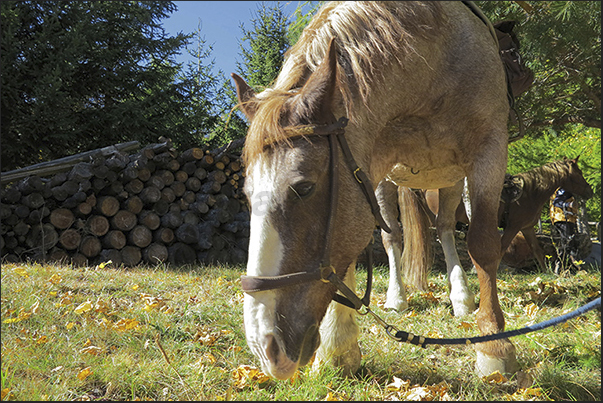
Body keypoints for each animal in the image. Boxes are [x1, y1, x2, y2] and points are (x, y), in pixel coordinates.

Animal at [234, 1, 516, 382]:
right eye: (248, 196)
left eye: (304, 188)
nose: (265, 346)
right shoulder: (370, 168)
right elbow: (359, 249)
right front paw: (338, 348)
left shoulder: (489, 149)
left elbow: (483, 244)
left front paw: (494, 345)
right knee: (396, 235)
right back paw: (399, 297)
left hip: (453, 180)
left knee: (446, 228)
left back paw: (462, 298)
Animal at [380, 159, 596, 318]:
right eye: (579, 173)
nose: (590, 190)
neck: (530, 192)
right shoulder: (513, 227)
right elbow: (500, 250)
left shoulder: (527, 229)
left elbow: (538, 252)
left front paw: (546, 273)